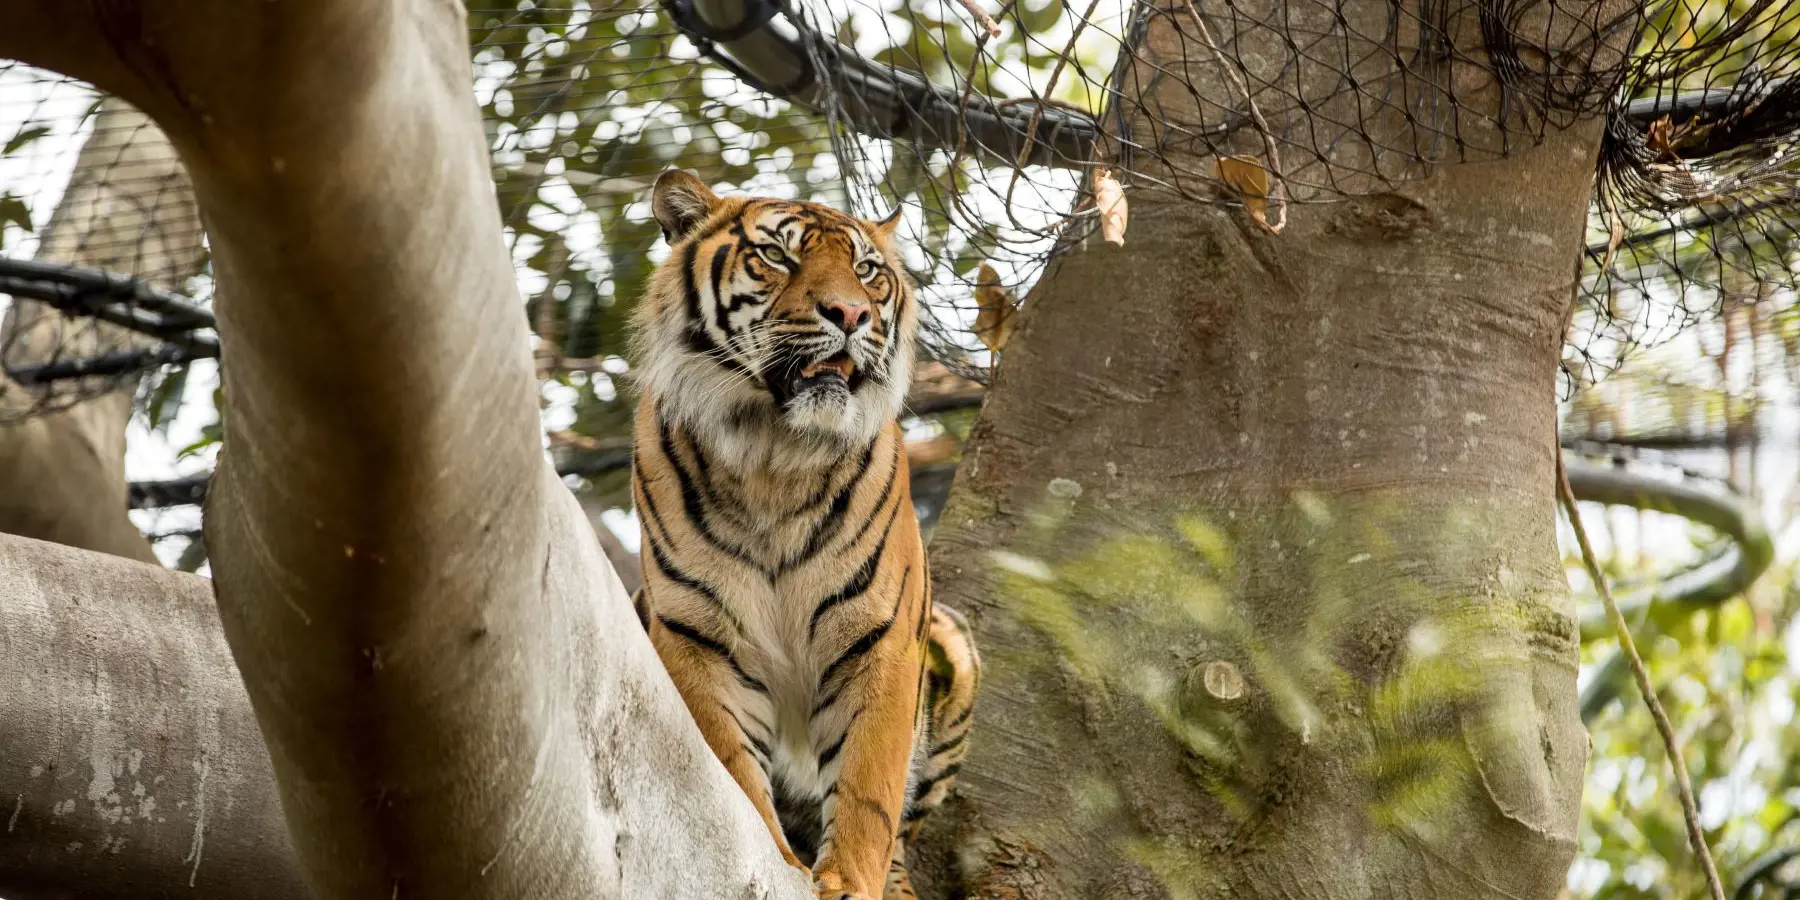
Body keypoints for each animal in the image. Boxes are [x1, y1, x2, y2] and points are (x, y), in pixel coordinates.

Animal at [627, 169, 981, 900]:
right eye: (777, 256)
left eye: (868, 271)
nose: (850, 315)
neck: (774, 455)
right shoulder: (697, 635)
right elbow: (731, 768)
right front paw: (782, 861)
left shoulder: (878, 637)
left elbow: (869, 789)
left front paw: (848, 880)